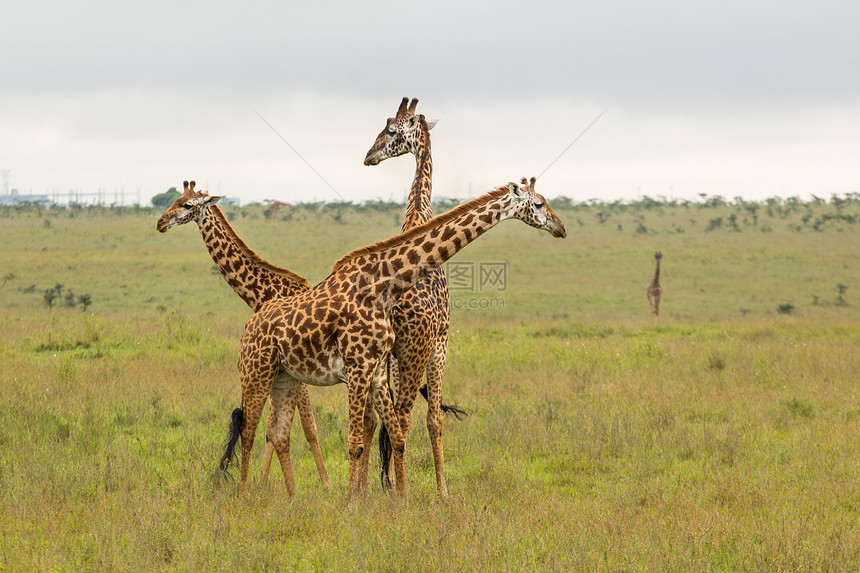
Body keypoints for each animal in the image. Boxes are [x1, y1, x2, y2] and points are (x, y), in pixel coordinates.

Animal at [155, 181, 332, 490]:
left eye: (187, 205)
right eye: (175, 199)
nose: (160, 223)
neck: (265, 293)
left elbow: (308, 427)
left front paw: (326, 485)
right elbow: (275, 430)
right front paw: (262, 482)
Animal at [222, 177, 568, 498]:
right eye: (538, 204)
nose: (561, 228)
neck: (384, 286)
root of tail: (249, 325)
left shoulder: (375, 369)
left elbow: (396, 434)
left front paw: (400, 502)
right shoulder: (358, 366)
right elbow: (355, 440)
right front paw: (352, 504)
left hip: (285, 377)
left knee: (279, 433)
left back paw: (290, 500)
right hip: (256, 373)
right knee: (249, 431)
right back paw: (243, 496)